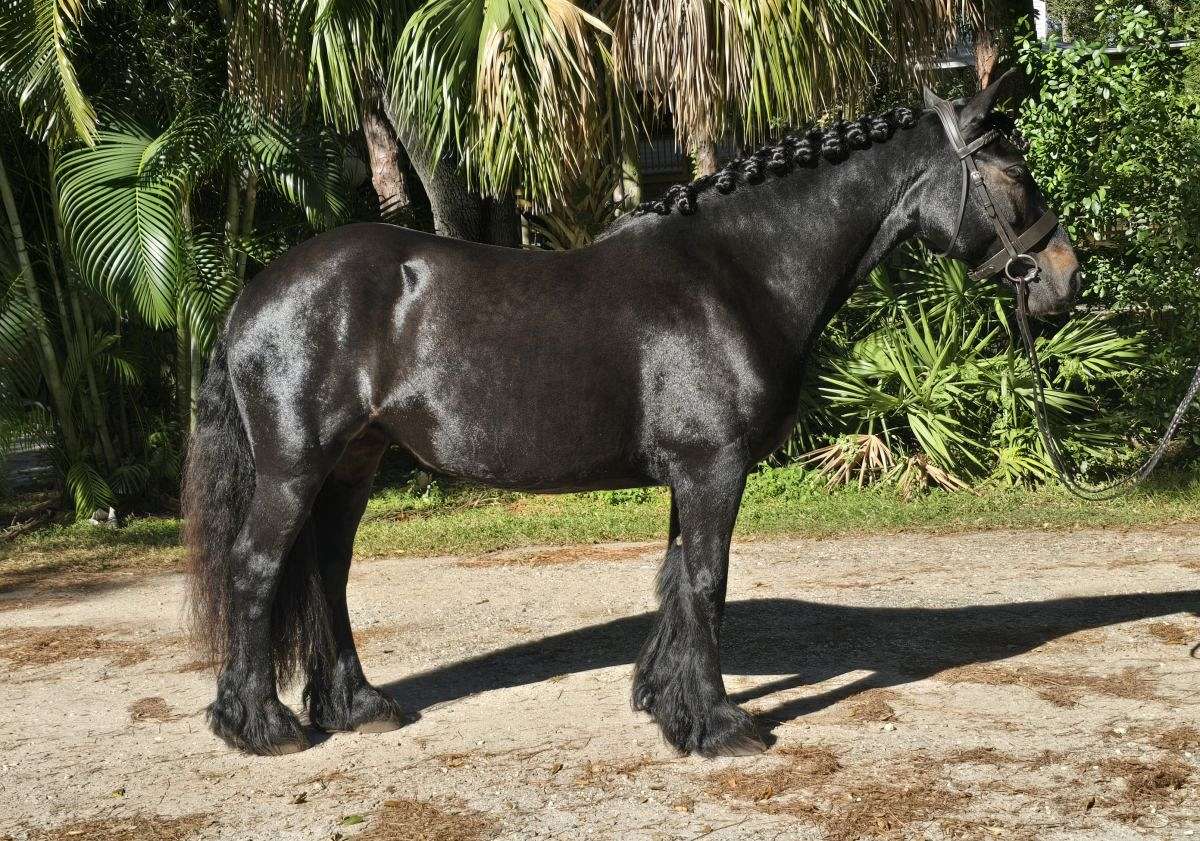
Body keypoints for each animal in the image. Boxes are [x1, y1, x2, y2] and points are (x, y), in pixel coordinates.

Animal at [184, 73, 1080, 758]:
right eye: (1013, 175)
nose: (1064, 279)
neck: (736, 270)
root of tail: (253, 296)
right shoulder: (713, 465)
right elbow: (708, 582)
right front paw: (721, 725)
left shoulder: (693, 470)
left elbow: (677, 580)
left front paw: (664, 701)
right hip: (295, 467)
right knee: (256, 569)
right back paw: (261, 726)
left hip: (352, 466)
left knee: (325, 573)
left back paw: (357, 707)